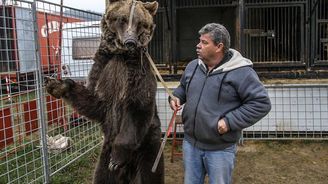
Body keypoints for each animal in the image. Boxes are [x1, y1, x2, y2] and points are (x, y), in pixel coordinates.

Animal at [44, 0, 164, 183]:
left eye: (141, 23)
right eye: (122, 19)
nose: (130, 42)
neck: (120, 55)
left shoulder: (138, 73)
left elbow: (138, 106)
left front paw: (117, 158)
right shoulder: (102, 69)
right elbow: (94, 102)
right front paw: (58, 85)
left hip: (149, 146)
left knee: (149, 173)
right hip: (104, 157)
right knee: (102, 176)